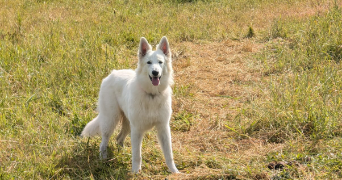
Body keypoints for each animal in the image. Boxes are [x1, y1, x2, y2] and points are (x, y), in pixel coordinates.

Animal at [81, 36, 179, 173]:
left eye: (160, 62)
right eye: (149, 62)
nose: (155, 72)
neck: (151, 95)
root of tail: (111, 74)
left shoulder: (163, 128)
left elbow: (169, 154)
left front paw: (175, 172)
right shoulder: (137, 130)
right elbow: (137, 154)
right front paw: (136, 172)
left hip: (127, 125)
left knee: (119, 139)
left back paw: (122, 154)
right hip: (110, 121)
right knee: (103, 142)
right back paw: (103, 159)